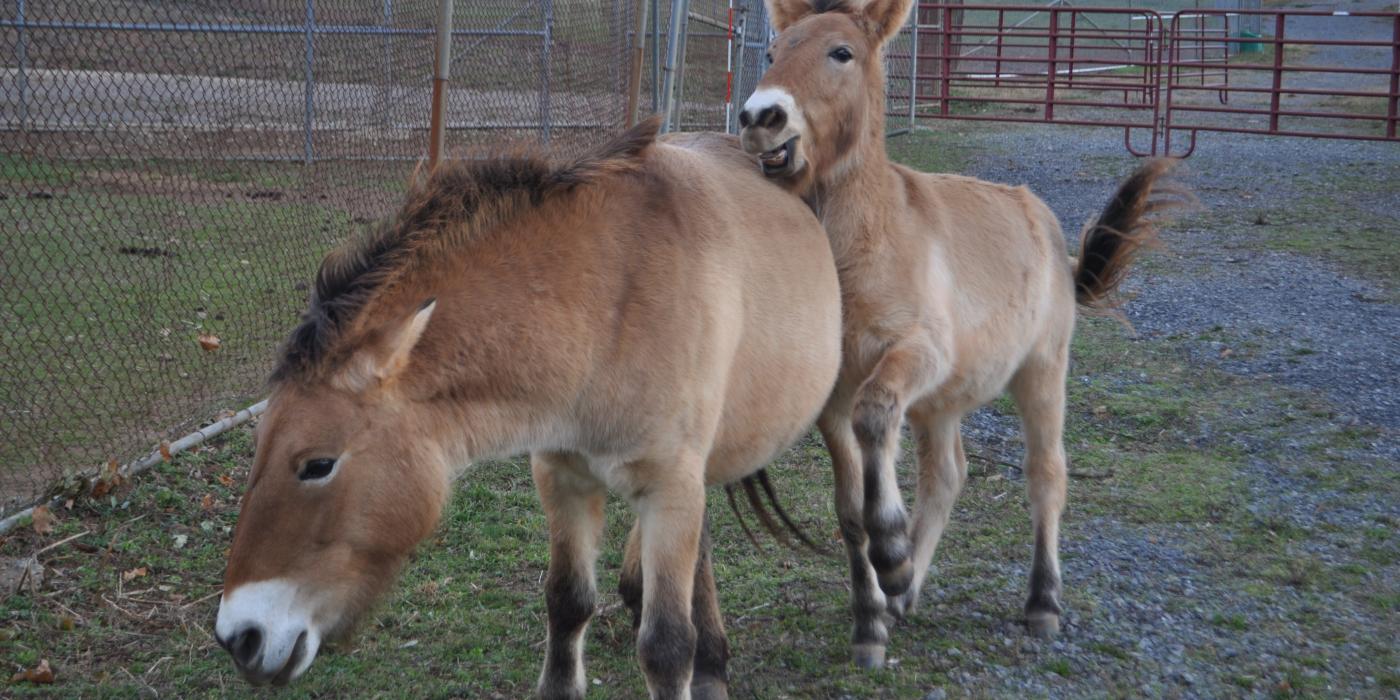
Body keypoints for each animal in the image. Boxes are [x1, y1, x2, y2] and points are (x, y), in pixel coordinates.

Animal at [211, 117, 834, 697]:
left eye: (317, 465)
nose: (240, 638)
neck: (609, 304)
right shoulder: (562, 476)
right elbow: (567, 603)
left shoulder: (670, 491)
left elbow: (665, 645)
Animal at [739, 0, 1187, 669]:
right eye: (772, 52)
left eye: (841, 53)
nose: (760, 117)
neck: (866, 249)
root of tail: (1043, 221)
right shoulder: (834, 398)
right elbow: (850, 509)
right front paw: (871, 619)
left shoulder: (915, 354)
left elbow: (875, 417)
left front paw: (891, 554)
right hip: (941, 404)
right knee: (947, 475)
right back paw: (903, 592)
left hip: (1042, 371)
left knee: (1046, 474)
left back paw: (1039, 603)